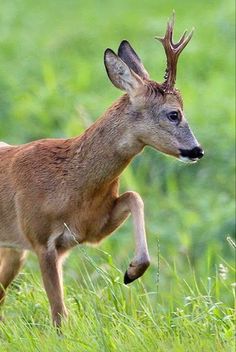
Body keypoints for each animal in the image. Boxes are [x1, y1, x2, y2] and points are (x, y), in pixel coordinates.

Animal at [0, 13, 203, 328]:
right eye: (174, 113)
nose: (197, 150)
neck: (70, 183)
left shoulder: (91, 228)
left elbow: (134, 197)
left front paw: (132, 271)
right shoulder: (40, 239)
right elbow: (59, 315)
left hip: (13, 250)